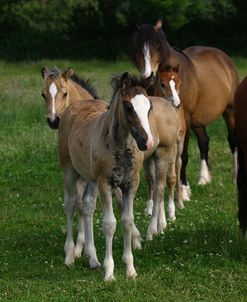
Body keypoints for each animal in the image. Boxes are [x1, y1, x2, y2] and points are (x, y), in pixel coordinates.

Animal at [130, 18, 240, 198]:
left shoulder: (185, 120)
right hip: (198, 120)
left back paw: (236, 177)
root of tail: (225, 59)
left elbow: (182, 155)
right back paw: (204, 178)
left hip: (229, 111)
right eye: (136, 48)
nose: (148, 77)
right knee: (204, 141)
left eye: (157, 47)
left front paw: (184, 190)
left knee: (233, 141)